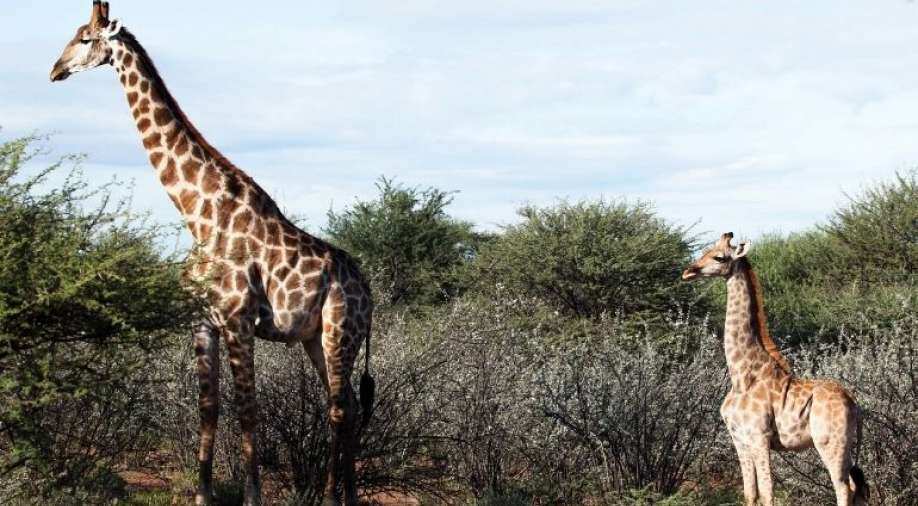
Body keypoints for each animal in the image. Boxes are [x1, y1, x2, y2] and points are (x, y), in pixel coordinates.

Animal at [50, 3, 375, 505]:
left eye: (85, 38)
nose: (55, 70)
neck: (198, 214)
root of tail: (369, 291)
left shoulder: (238, 319)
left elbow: (248, 410)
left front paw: (252, 496)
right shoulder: (202, 321)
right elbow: (208, 408)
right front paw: (203, 495)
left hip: (341, 331)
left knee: (341, 409)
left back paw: (333, 497)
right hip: (314, 337)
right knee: (348, 407)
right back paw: (344, 496)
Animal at [682, 232, 869, 506]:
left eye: (719, 257)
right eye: (705, 250)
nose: (688, 272)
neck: (742, 375)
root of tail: (854, 404)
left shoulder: (760, 437)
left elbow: (767, 493)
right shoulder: (739, 439)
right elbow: (750, 493)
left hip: (830, 442)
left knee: (843, 488)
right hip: (846, 444)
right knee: (857, 487)